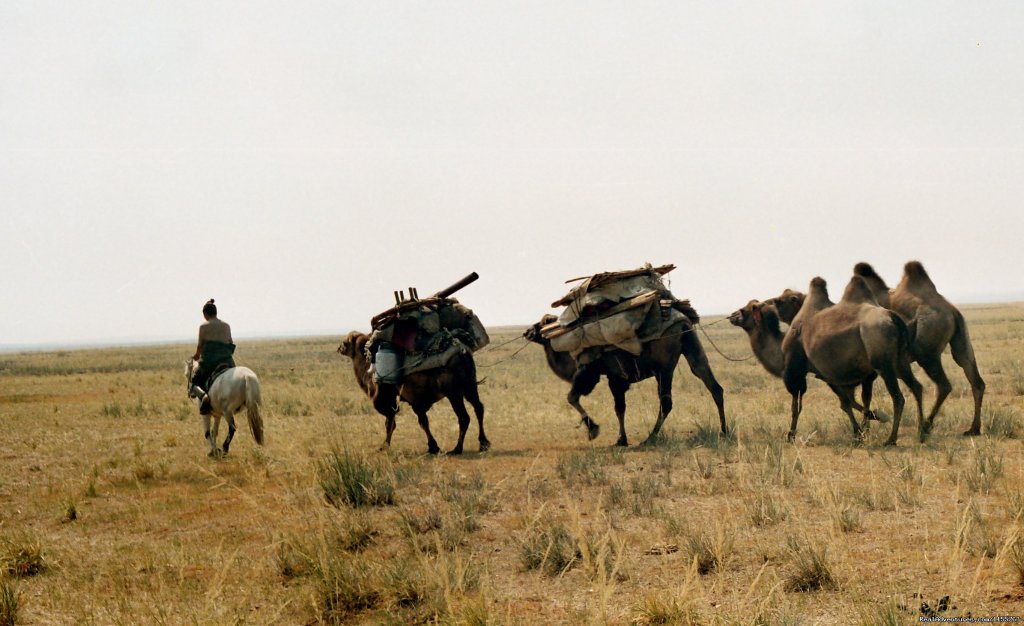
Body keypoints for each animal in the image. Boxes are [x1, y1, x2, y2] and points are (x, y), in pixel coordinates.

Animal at [335, 334, 487, 454]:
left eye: (345, 342)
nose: (339, 348)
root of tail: (462, 353)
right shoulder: (414, 400)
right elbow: (421, 422)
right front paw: (433, 447)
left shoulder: (389, 399)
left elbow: (391, 423)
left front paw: (384, 446)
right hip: (469, 386)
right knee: (479, 408)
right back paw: (483, 444)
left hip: (454, 393)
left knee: (464, 417)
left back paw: (457, 449)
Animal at [528, 307, 729, 446]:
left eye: (543, 322)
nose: (528, 331)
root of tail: (683, 321)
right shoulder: (617, 377)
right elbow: (620, 408)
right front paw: (621, 439)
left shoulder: (590, 371)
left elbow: (573, 397)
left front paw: (594, 429)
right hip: (691, 345)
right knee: (713, 385)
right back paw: (724, 431)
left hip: (664, 367)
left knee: (666, 402)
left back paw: (650, 437)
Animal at [774, 274, 929, 446]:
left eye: (780, 301)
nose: (774, 308)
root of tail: (894, 318)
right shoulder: (845, 376)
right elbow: (855, 400)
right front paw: (864, 429)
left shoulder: (800, 370)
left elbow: (800, 404)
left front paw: (790, 435)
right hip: (900, 361)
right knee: (916, 387)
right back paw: (921, 433)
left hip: (884, 364)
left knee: (898, 397)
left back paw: (891, 439)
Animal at [851, 259, 987, 436]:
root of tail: (952, 311)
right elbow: (865, 395)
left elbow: (864, 395)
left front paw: (864, 429)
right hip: (961, 339)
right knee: (975, 378)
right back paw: (973, 428)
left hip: (926, 353)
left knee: (944, 385)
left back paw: (926, 425)